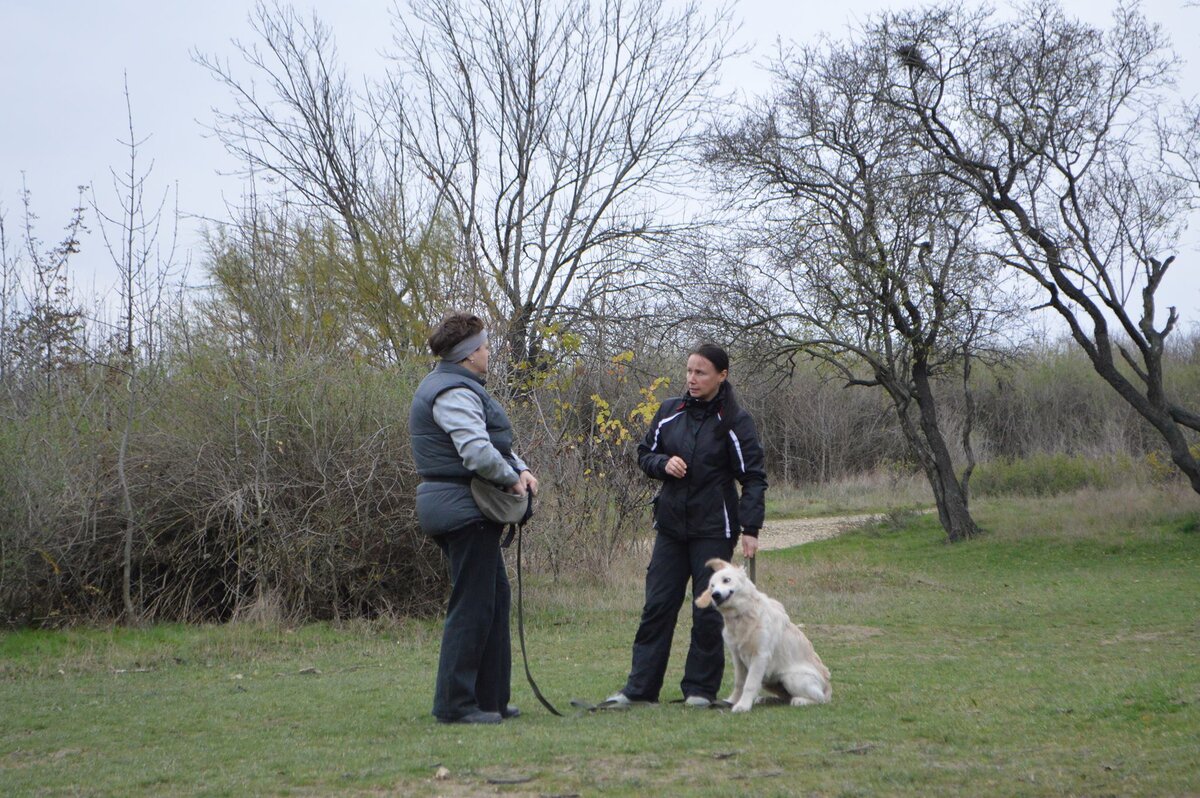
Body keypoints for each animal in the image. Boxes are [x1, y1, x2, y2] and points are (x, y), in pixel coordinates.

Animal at [696, 556, 835, 710]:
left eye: (726, 580)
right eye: (712, 586)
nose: (715, 595)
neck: (741, 616)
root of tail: (827, 686)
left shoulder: (760, 656)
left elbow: (749, 684)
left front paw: (743, 705)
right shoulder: (737, 657)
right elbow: (739, 683)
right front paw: (731, 701)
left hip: (791, 677)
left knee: (819, 698)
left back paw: (800, 700)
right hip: (769, 681)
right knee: (785, 697)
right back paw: (764, 699)